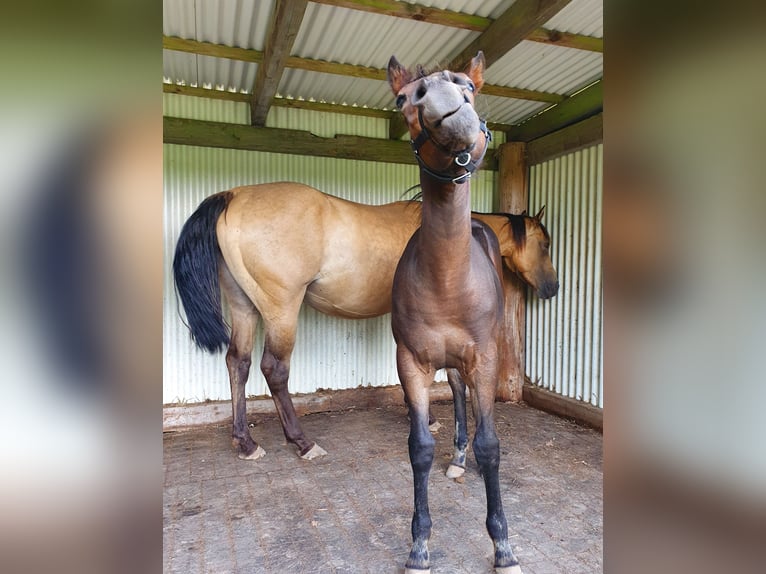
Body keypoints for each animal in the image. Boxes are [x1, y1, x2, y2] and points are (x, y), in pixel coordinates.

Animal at [390, 51, 528, 572]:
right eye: (403, 98)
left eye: (468, 85)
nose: (450, 109)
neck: (448, 280)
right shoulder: (411, 361)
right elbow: (419, 449)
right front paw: (419, 546)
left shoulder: (485, 357)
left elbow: (491, 446)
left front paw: (503, 546)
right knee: (458, 393)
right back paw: (456, 458)